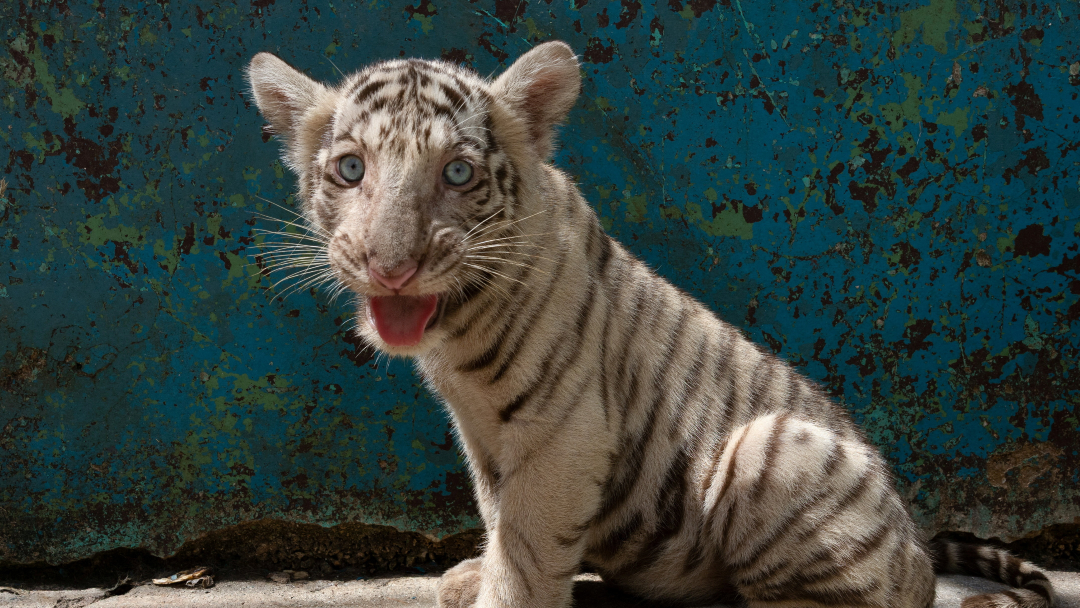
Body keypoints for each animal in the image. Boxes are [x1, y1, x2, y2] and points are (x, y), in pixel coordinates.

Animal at [245, 41, 1056, 608]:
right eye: (351, 170)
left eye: (458, 173)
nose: (392, 268)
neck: (460, 324)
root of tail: (917, 555)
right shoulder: (483, 438)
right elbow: (498, 515)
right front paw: (478, 571)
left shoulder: (562, 431)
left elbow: (528, 544)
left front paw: (500, 587)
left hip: (772, 447)